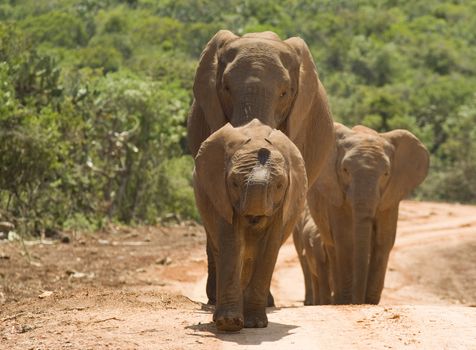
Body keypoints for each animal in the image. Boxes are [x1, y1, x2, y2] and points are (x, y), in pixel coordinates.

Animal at [194, 120, 308, 330]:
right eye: (234, 183)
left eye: (279, 185)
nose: (254, 217)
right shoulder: (221, 194)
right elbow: (232, 242)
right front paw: (229, 324)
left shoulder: (283, 203)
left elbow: (268, 248)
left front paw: (255, 323)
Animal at [308, 123, 432, 304]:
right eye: (345, 170)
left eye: (386, 174)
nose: (358, 302)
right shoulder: (336, 193)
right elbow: (345, 240)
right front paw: (348, 301)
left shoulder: (390, 195)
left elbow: (384, 240)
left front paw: (370, 302)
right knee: (331, 245)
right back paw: (339, 300)